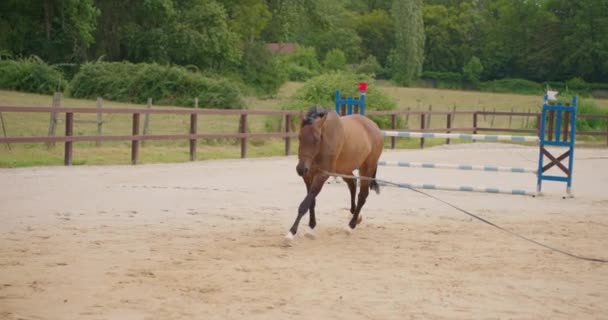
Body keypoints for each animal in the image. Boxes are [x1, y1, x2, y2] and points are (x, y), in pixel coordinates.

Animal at [286, 106, 382, 241]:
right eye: (300, 137)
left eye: (316, 139)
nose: (301, 169)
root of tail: (374, 127)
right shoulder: (308, 176)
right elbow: (311, 201)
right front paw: (311, 227)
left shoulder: (322, 176)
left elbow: (305, 204)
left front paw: (291, 233)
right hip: (344, 169)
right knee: (352, 184)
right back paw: (356, 216)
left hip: (366, 169)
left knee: (362, 195)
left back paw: (350, 226)